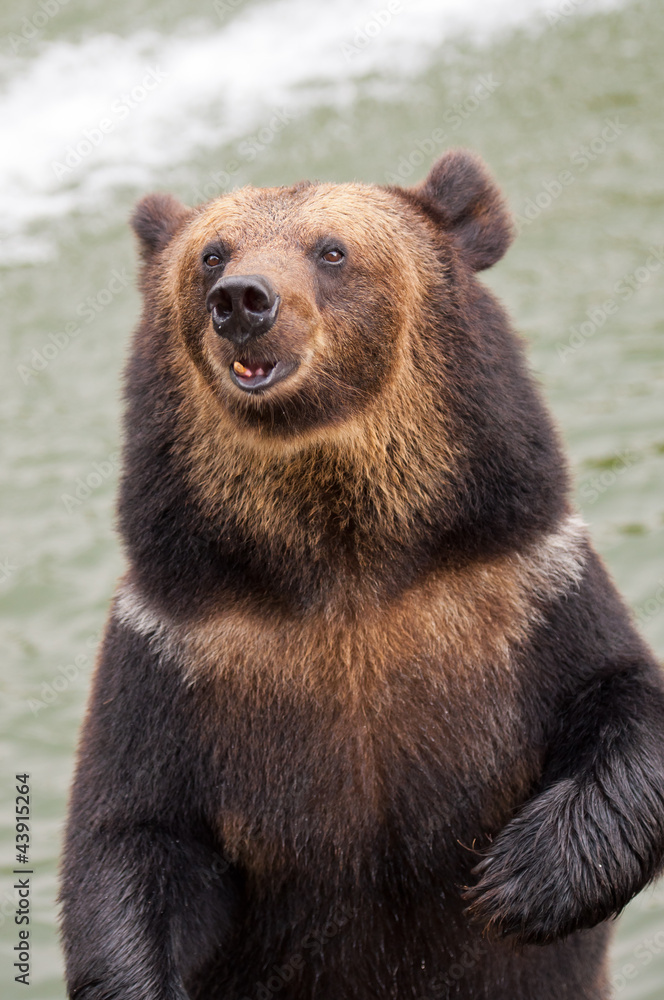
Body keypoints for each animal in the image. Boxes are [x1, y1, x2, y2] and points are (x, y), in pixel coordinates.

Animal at [59, 149, 664, 1000]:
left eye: (331, 249)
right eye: (212, 253)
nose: (242, 300)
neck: (345, 568)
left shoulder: (521, 591)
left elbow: (624, 694)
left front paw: (519, 880)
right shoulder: (179, 655)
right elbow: (130, 836)